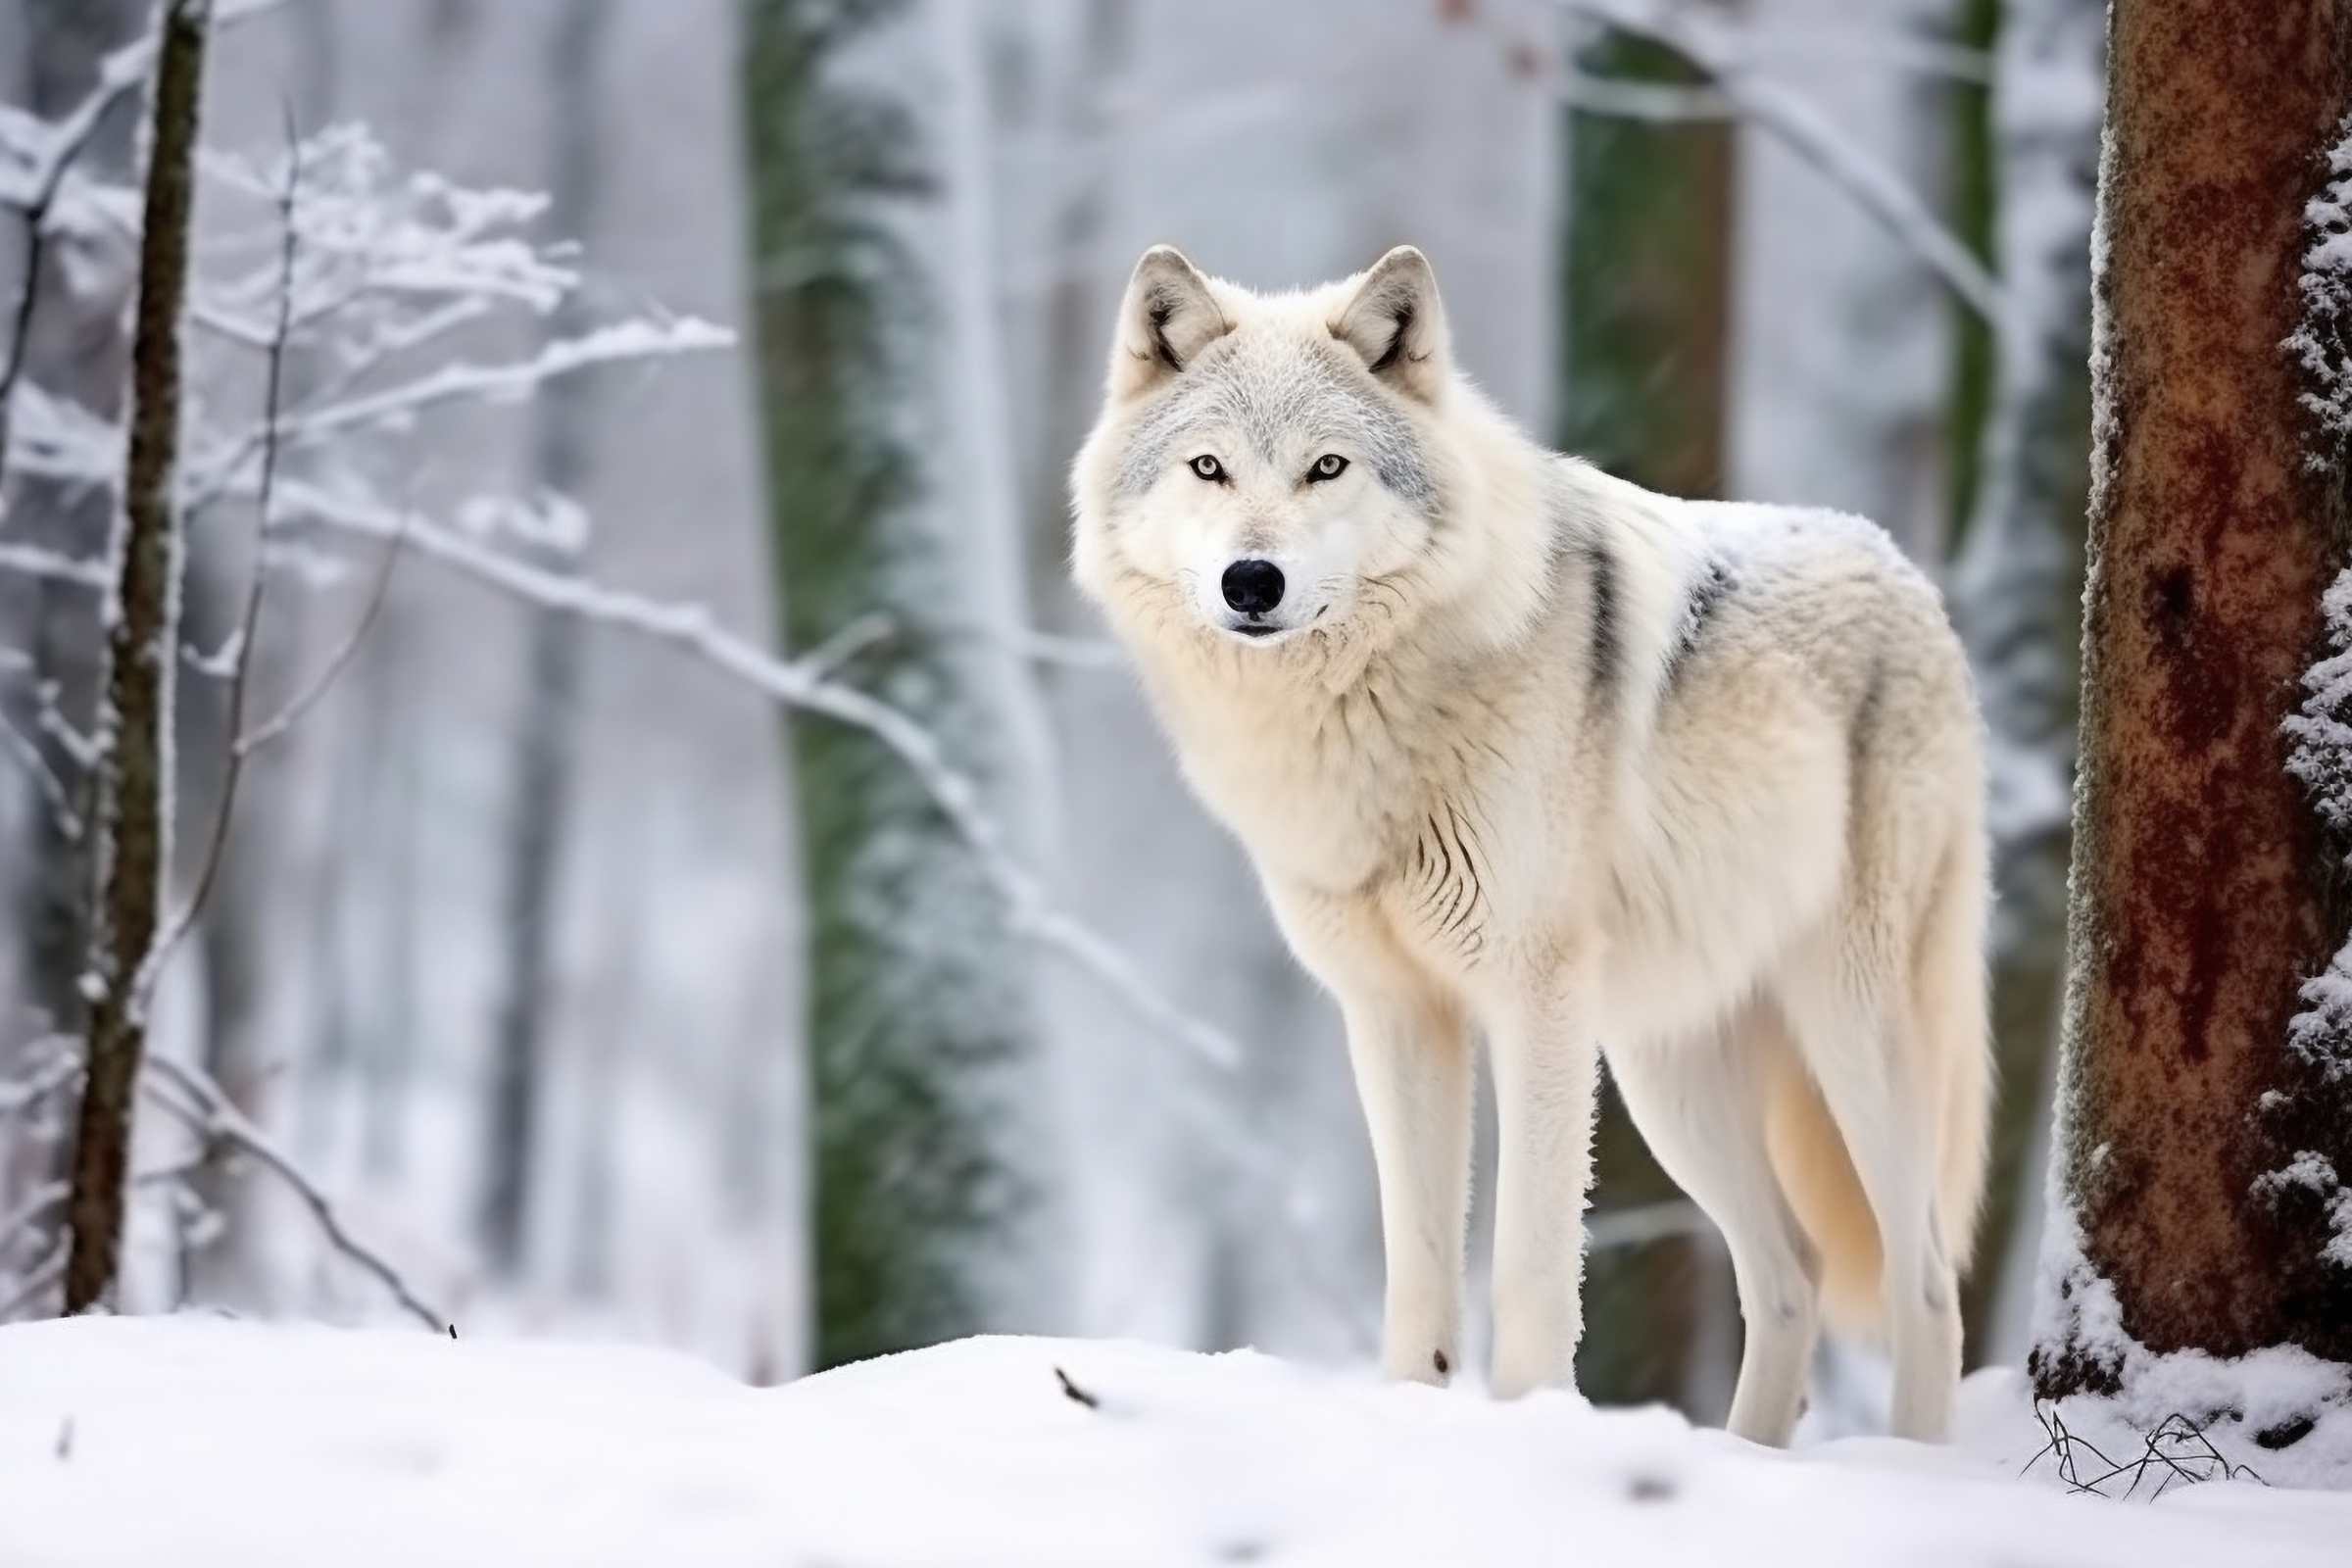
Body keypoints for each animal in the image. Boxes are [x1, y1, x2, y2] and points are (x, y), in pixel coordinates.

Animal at [1077, 242, 1994, 1447]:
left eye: (1327, 468)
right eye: (1209, 468)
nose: (1252, 581)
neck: (1365, 722)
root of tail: (1911, 576)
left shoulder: (1535, 997)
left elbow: (1527, 1261)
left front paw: (1532, 1428)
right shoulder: (1395, 1012)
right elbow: (1420, 1262)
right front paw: (1413, 1412)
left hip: (1849, 1029)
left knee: (1922, 1279)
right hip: (1668, 1074)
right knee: (1790, 1275)